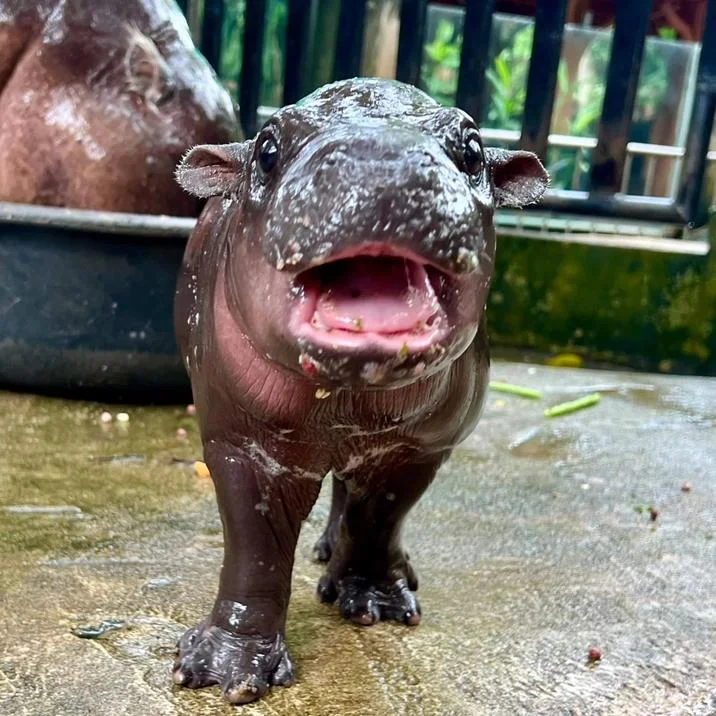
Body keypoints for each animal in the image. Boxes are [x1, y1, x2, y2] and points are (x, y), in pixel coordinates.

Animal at [173, 78, 548, 704]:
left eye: (473, 149)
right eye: (267, 148)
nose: (382, 158)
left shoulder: (416, 447)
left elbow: (380, 517)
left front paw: (375, 603)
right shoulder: (244, 442)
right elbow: (254, 547)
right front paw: (221, 673)